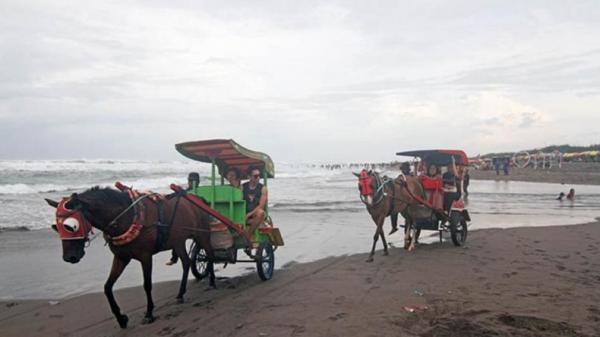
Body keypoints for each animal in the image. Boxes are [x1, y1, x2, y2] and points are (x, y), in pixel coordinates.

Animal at [45, 185, 213, 326]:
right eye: (56, 227)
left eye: (71, 226)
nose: (69, 257)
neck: (127, 217)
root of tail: (200, 200)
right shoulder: (121, 257)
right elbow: (107, 287)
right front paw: (121, 318)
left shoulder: (146, 257)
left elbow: (147, 285)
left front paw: (149, 313)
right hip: (178, 241)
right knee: (186, 262)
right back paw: (180, 294)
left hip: (201, 235)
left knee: (209, 254)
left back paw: (212, 282)